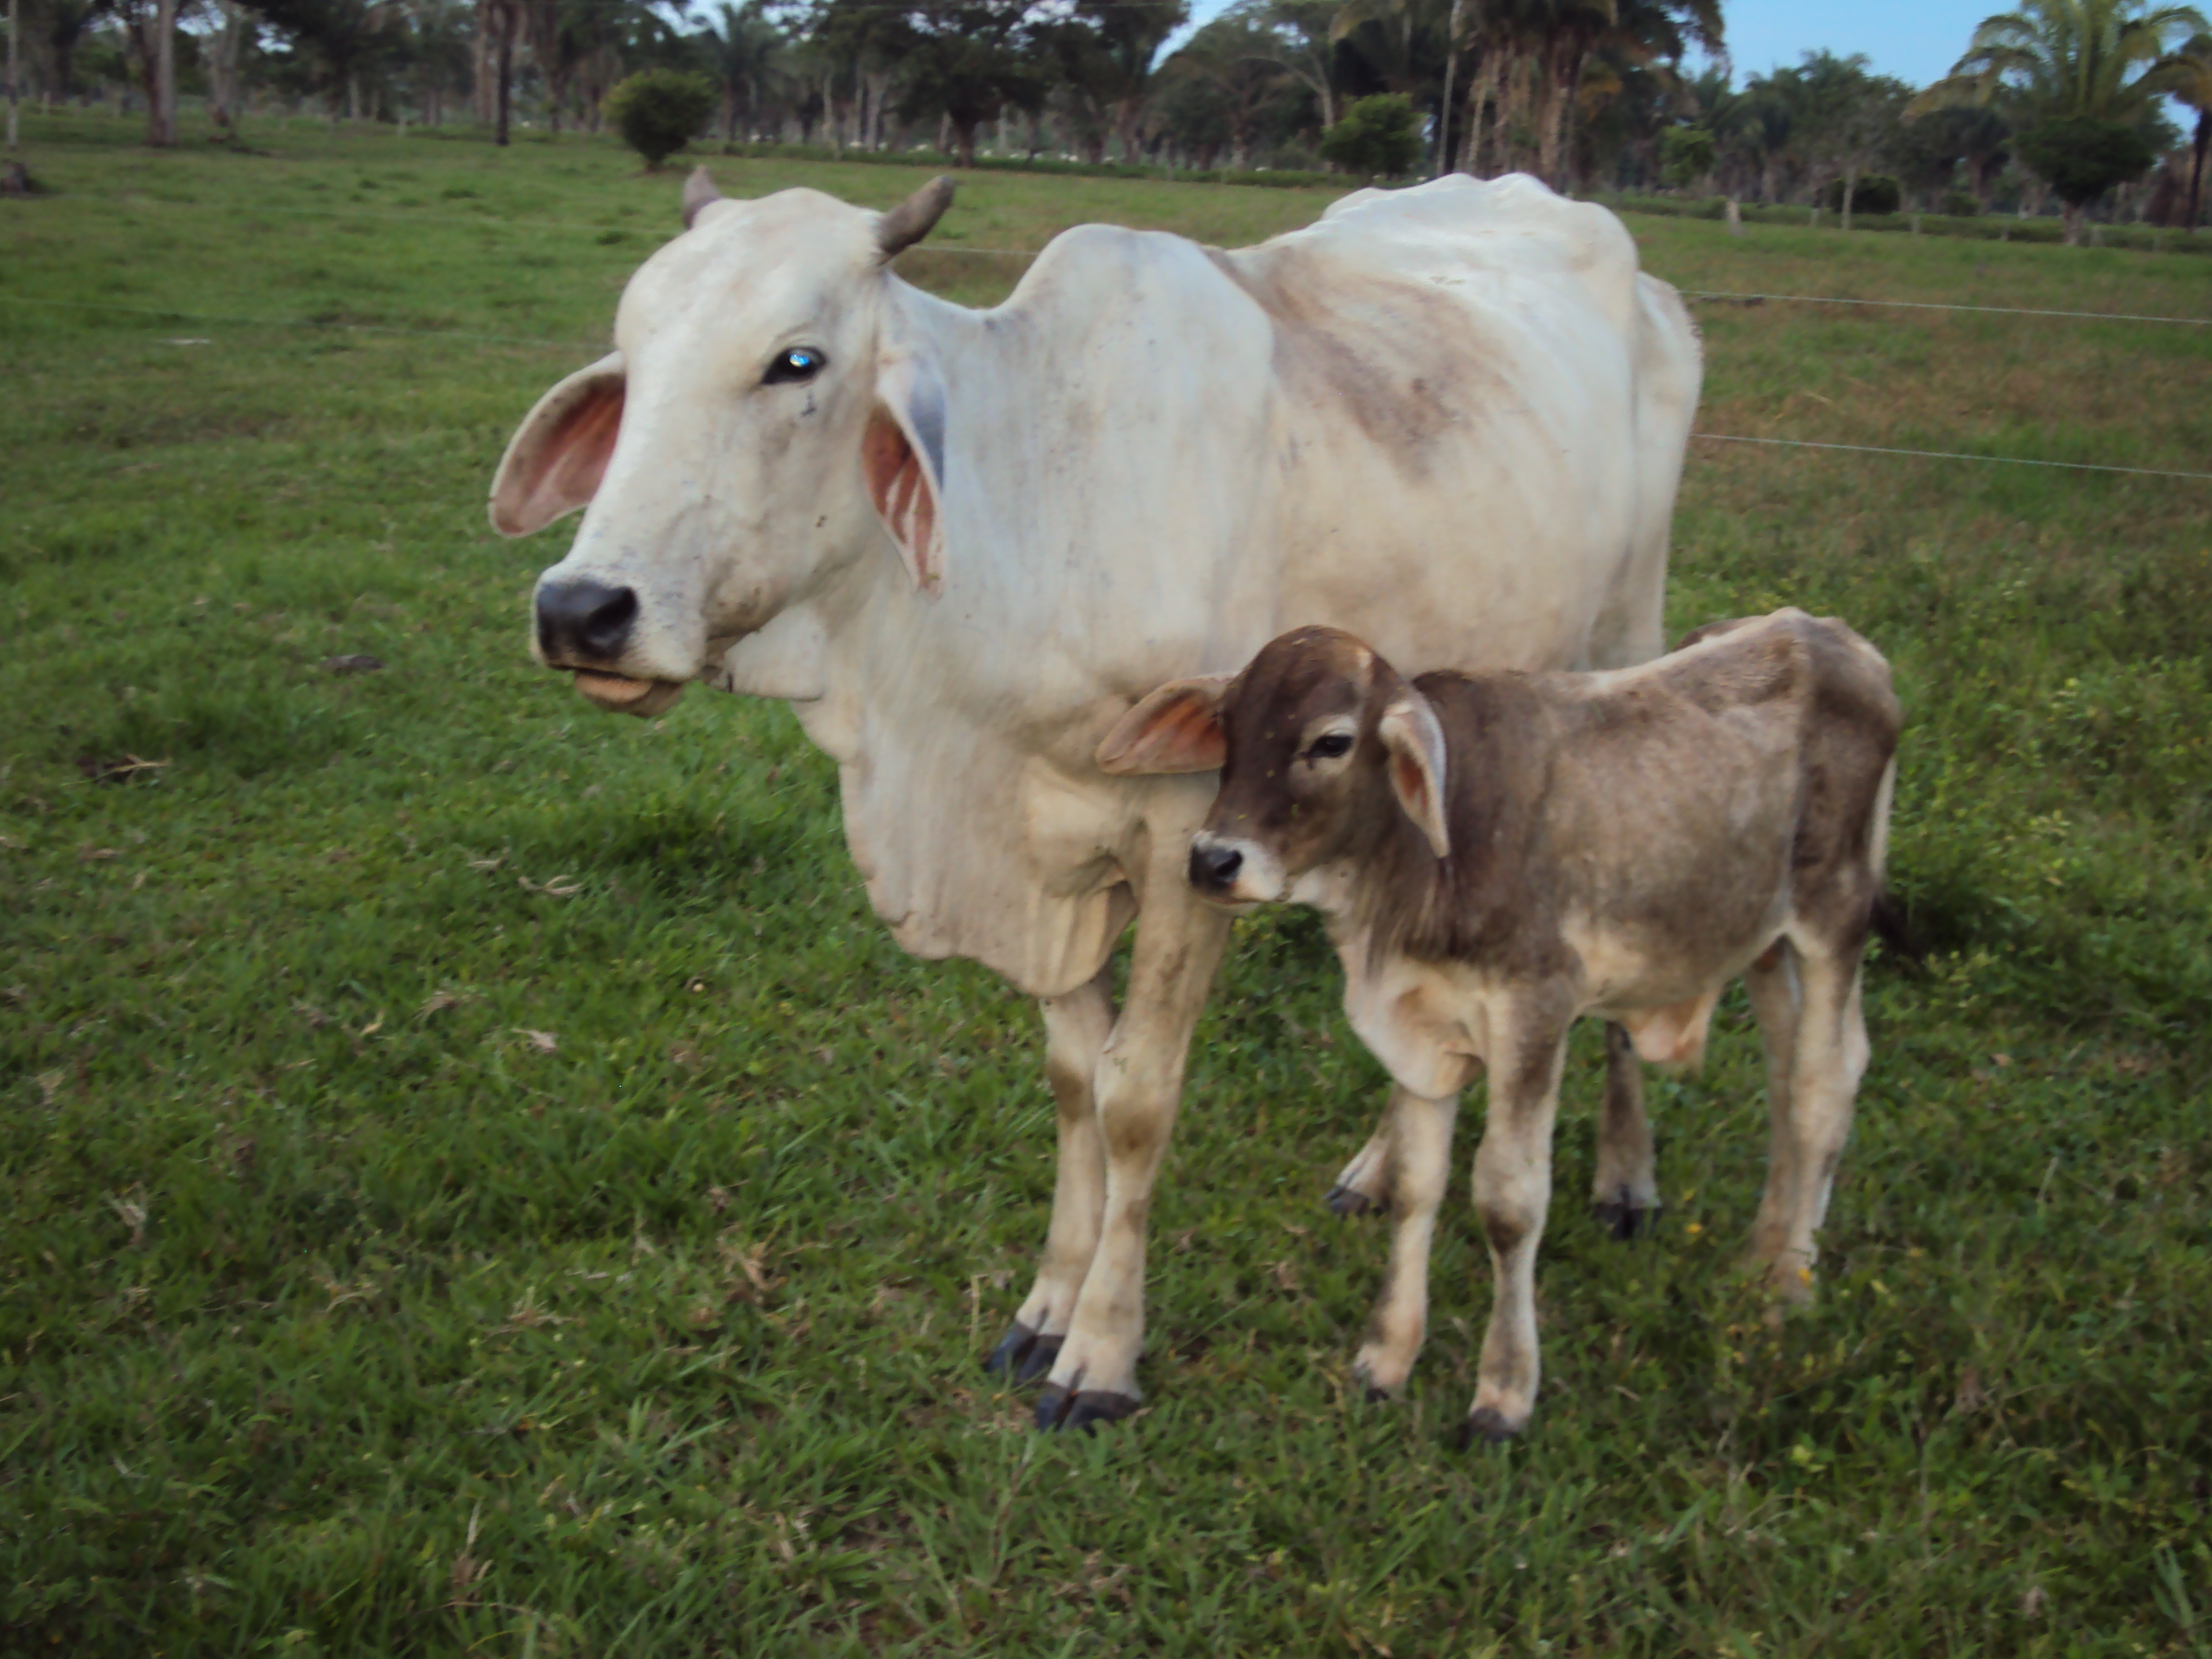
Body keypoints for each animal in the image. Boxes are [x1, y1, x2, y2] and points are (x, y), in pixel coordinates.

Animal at [493, 172, 1698, 1442]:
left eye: (795, 361)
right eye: (632, 356)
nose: (582, 609)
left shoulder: (1186, 842)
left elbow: (1134, 1100)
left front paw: (1101, 1353)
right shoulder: (1043, 860)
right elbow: (1073, 1083)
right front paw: (1045, 1306)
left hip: (1625, 636)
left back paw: (1624, 1177)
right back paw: (1380, 1166)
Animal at [1106, 610, 1902, 1442]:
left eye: (1331, 742)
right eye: (1229, 728)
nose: (1212, 861)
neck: (1414, 871)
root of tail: (1829, 635)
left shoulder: (1534, 1015)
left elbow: (1509, 1202)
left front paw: (1505, 1391)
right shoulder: (1420, 1032)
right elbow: (1418, 1186)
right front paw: (1387, 1356)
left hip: (1834, 915)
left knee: (1823, 1087)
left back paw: (1790, 1282)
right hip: (1759, 937)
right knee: (1791, 1075)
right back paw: (1760, 1254)